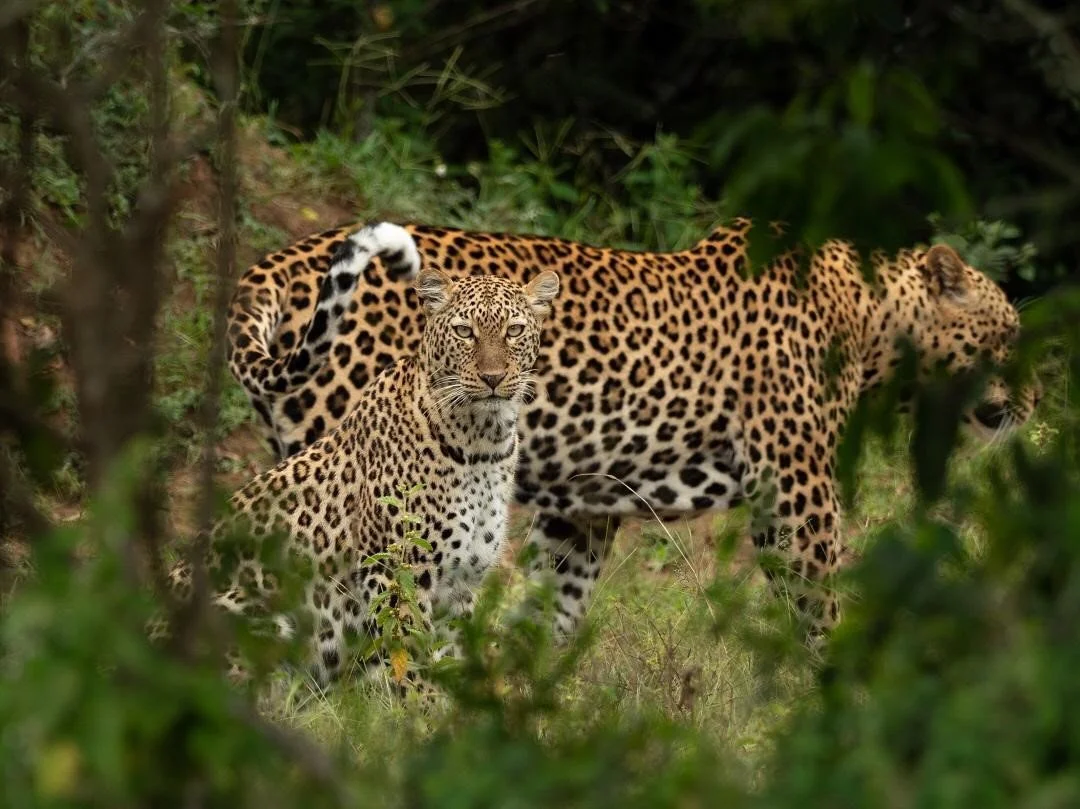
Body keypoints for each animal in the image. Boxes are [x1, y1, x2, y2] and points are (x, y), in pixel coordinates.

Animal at [158, 222, 561, 689]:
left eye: (514, 331)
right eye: (464, 332)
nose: (493, 378)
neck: (484, 442)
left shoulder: (463, 583)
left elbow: (453, 656)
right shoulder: (397, 569)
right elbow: (411, 655)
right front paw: (422, 701)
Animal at [224, 217, 1041, 644]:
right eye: (1007, 333)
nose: (1037, 400)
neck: (878, 325)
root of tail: (279, 261)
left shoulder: (582, 506)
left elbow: (553, 609)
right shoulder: (795, 488)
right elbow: (820, 601)